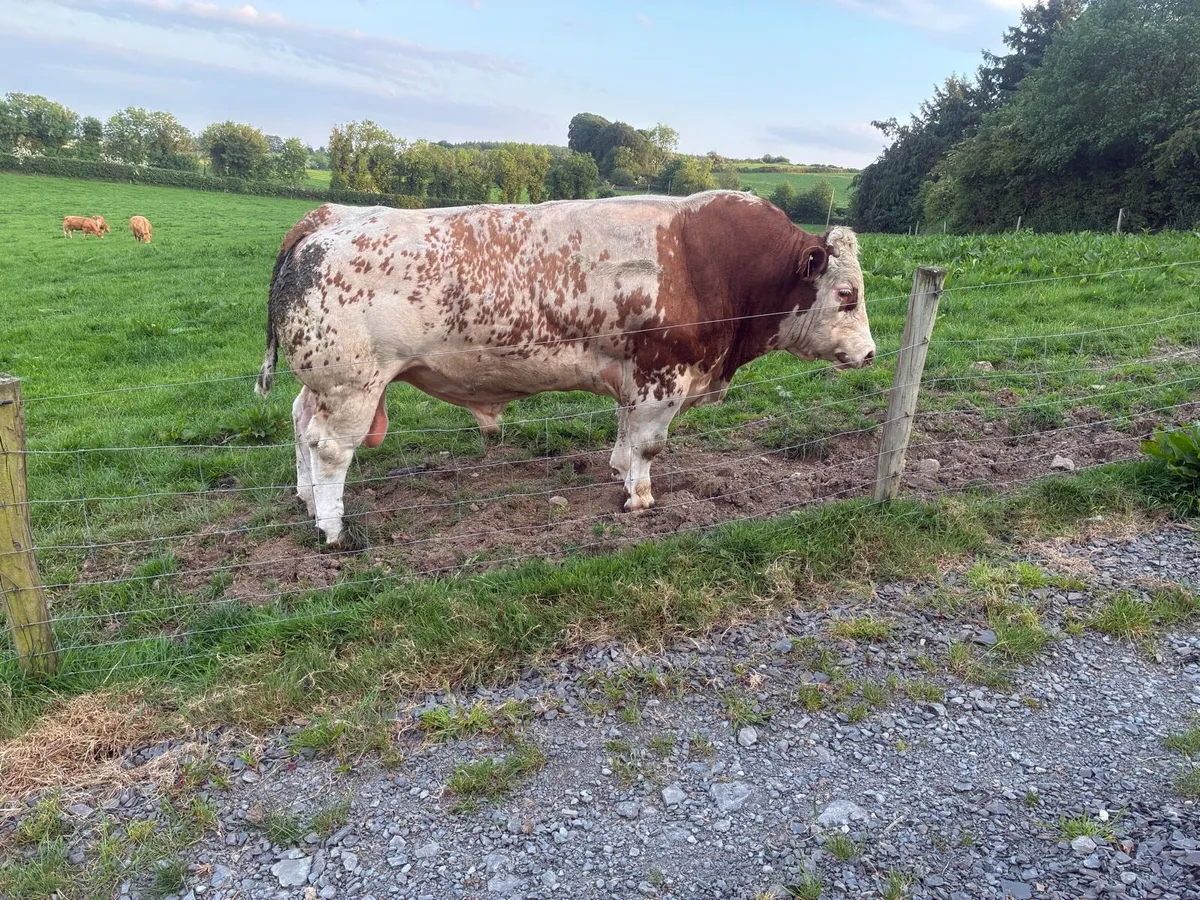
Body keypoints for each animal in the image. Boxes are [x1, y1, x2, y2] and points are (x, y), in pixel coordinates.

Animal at [255, 190, 876, 546]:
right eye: (847, 294)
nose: (871, 352)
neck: (713, 263)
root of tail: (323, 224)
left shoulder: (634, 371)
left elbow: (625, 430)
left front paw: (618, 472)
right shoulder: (663, 374)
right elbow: (650, 444)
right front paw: (639, 499)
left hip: (322, 383)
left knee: (301, 426)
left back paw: (306, 499)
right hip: (351, 384)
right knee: (330, 449)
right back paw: (332, 528)